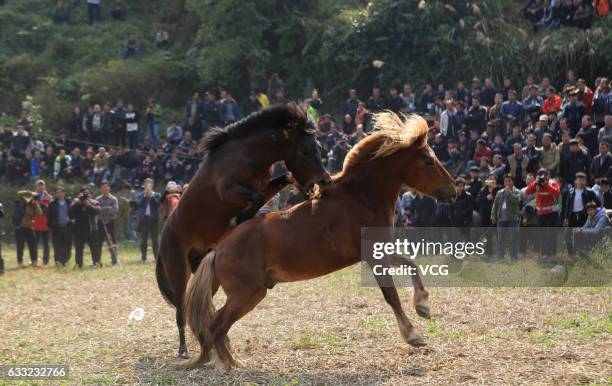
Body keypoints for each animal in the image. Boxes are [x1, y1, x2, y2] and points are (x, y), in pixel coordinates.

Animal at [155, 101, 332, 358]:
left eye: (318, 148)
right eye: (304, 152)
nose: (325, 181)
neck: (247, 154)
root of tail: (163, 236)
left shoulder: (264, 183)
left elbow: (282, 180)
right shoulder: (227, 189)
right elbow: (256, 198)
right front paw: (239, 219)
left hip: (204, 269)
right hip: (178, 272)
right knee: (181, 307)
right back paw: (183, 349)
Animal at [184, 112, 456, 370]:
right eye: (429, 160)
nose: (453, 192)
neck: (361, 197)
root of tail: (218, 250)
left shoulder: (382, 250)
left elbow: (411, 263)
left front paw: (423, 307)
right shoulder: (373, 256)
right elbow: (391, 295)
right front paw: (413, 335)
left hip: (251, 293)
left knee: (217, 324)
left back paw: (234, 361)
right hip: (247, 294)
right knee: (217, 325)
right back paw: (227, 365)